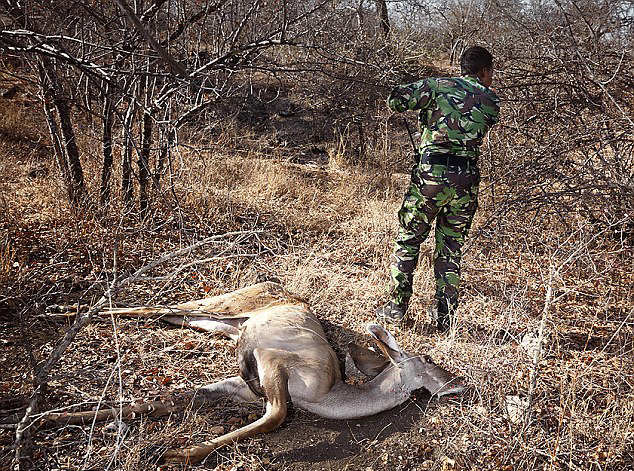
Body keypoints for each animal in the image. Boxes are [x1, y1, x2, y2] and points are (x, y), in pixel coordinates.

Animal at [43, 284, 460, 464]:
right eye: (428, 357)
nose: (459, 383)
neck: (326, 395)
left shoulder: (242, 388)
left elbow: (172, 400)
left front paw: (54, 418)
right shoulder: (274, 359)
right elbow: (276, 415)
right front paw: (180, 454)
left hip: (216, 322)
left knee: (164, 313)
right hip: (224, 304)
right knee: (157, 306)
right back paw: (60, 312)